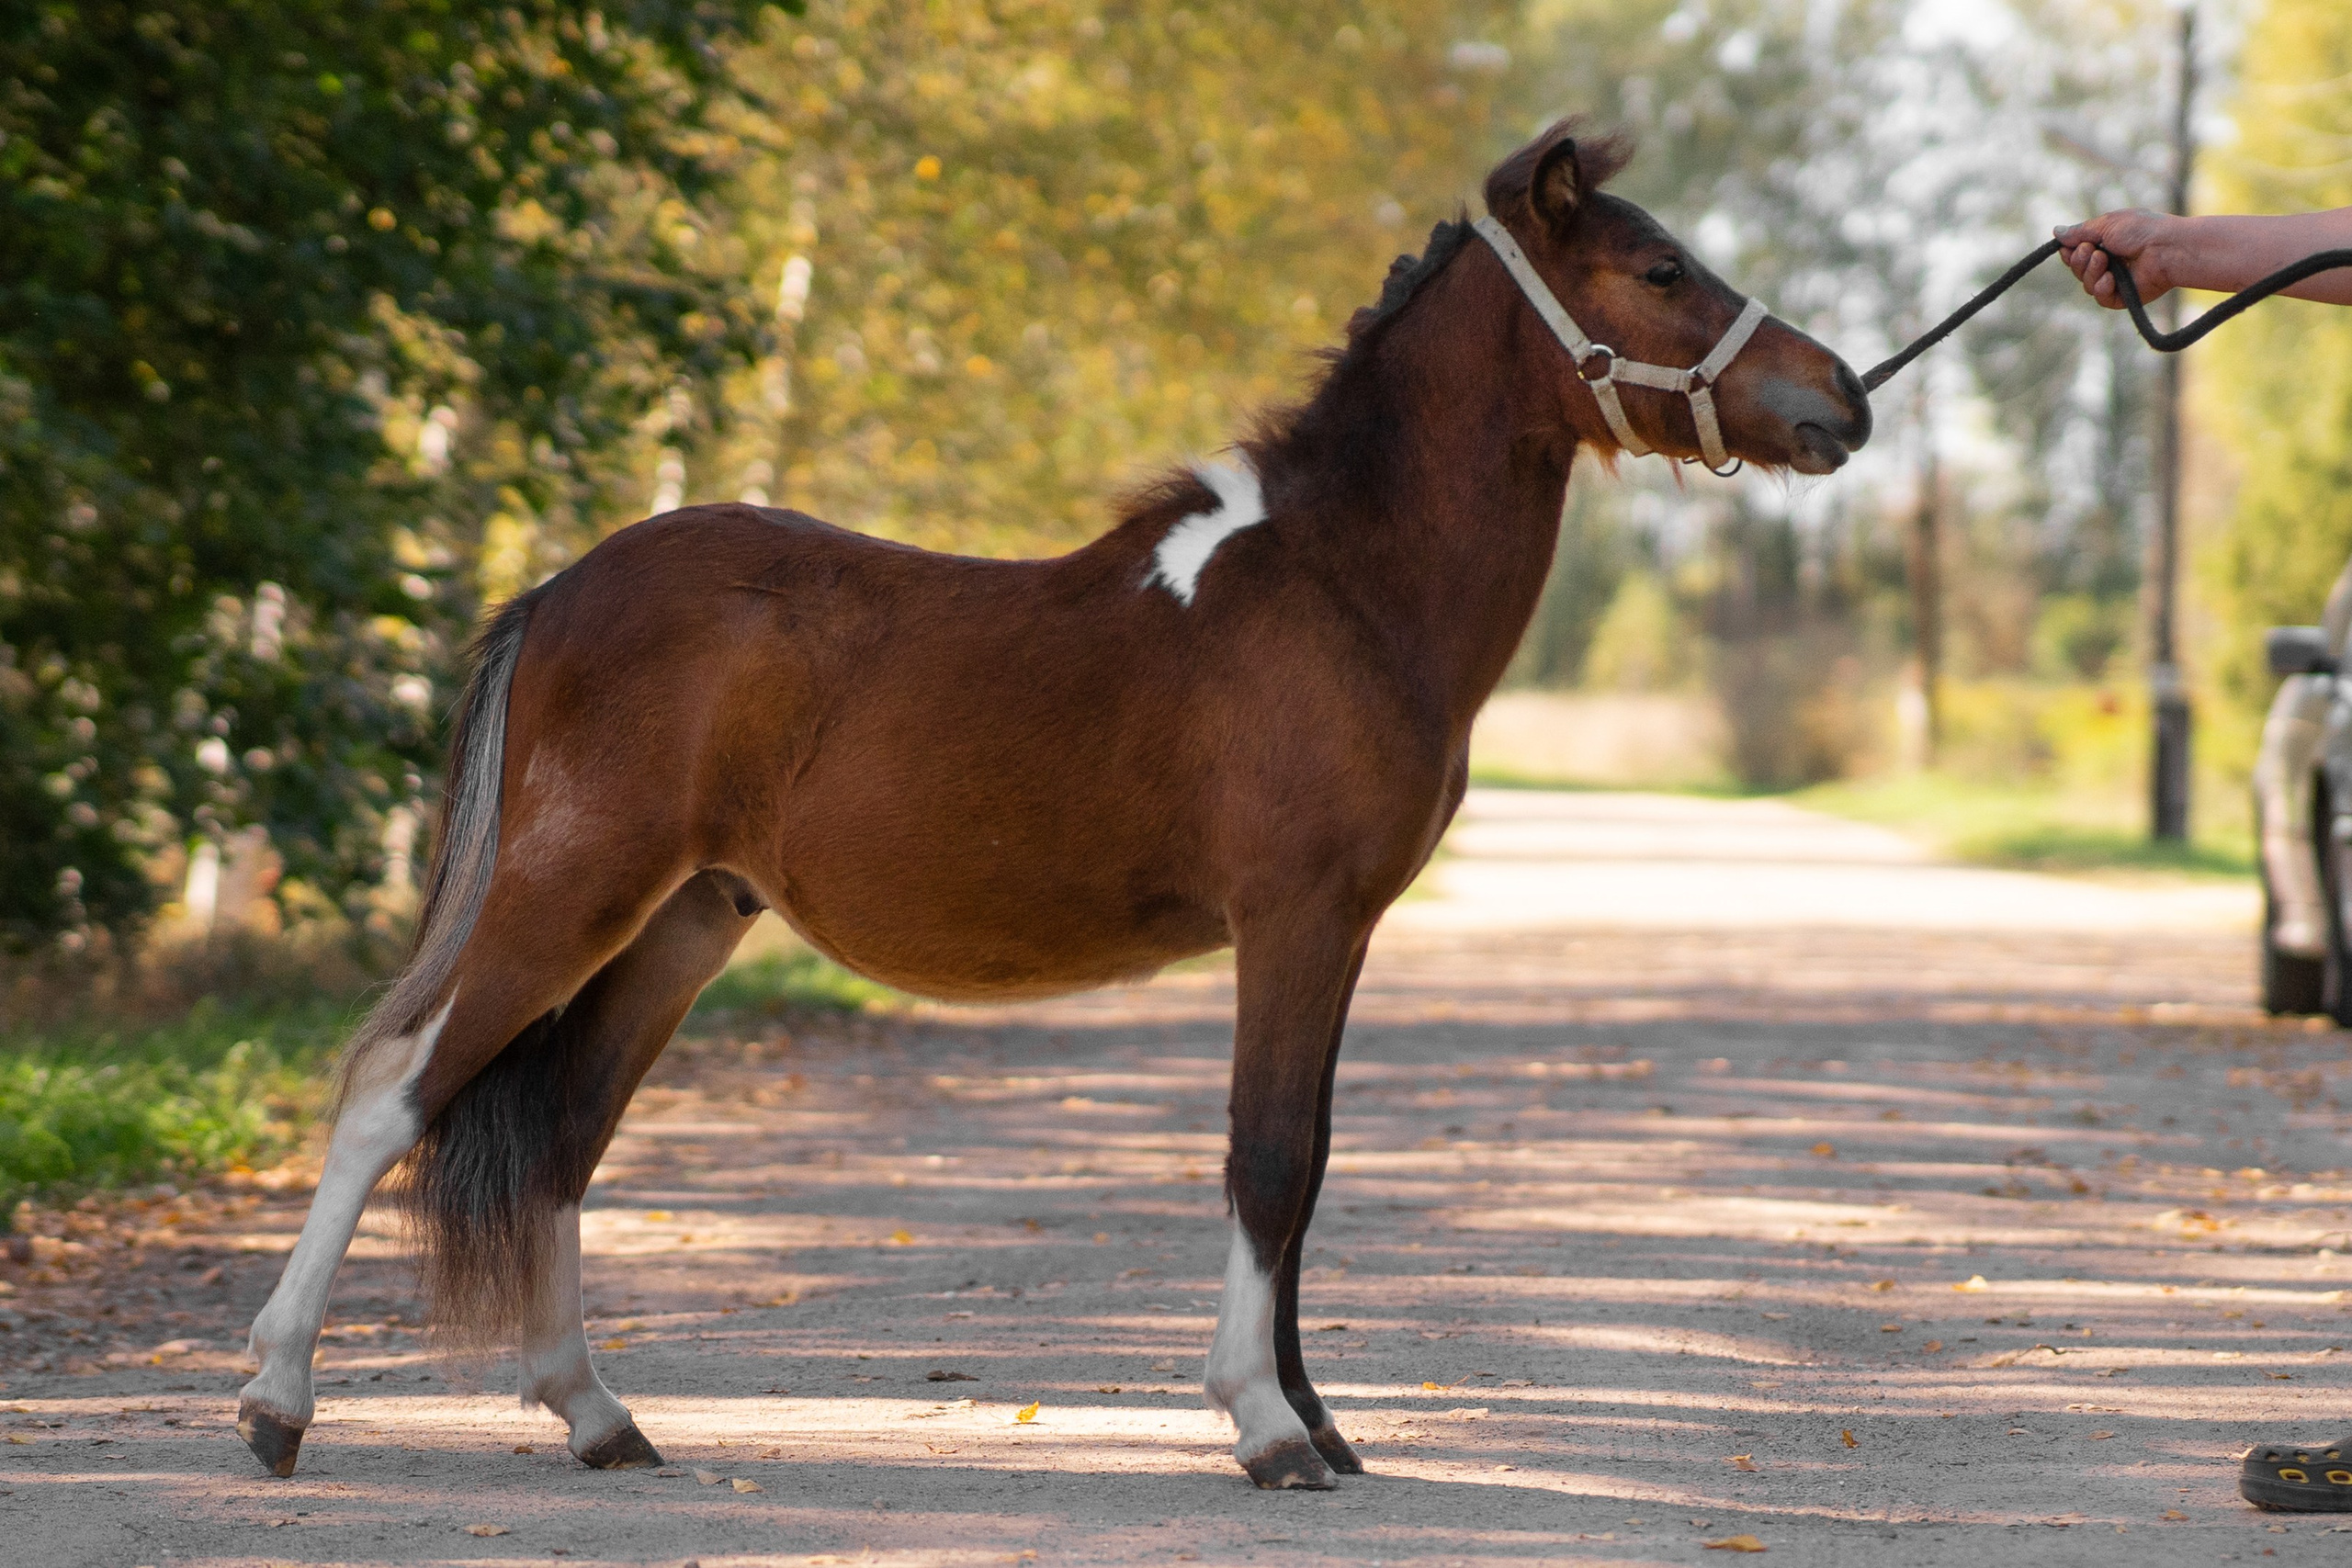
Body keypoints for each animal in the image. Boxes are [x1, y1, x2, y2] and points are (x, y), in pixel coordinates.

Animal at [236, 118, 1871, 1492]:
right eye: (1660, 270)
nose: (1841, 399)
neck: (1339, 588)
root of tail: (564, 588)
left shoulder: (1340, 931)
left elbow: (1309, 1159)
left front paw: (1321, 1421)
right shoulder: (1292, 918)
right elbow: (1266, 1154)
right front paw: (1268, 1425)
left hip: (685, 919)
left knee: (564, 1135)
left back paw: (597, 1414)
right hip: (574, 885)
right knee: (392, 1090)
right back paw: (276, 1401)